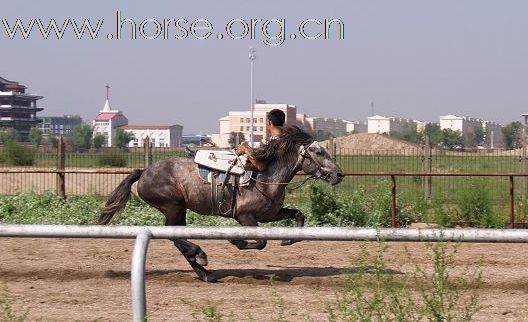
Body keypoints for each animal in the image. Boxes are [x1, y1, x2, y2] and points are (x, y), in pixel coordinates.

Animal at [99, 126, 344, 282]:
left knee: (177, 235)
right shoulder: (245, 216)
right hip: (172, 205)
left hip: (179, 209)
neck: (265, 175)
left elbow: (299, 215)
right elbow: (261, 242)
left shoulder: (271, 214)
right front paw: (236, 240)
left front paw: (289, 240)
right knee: (173, 234)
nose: (339, 174)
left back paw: (202, 270)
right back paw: (199, 255)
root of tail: (144, 172)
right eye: (318, 151)